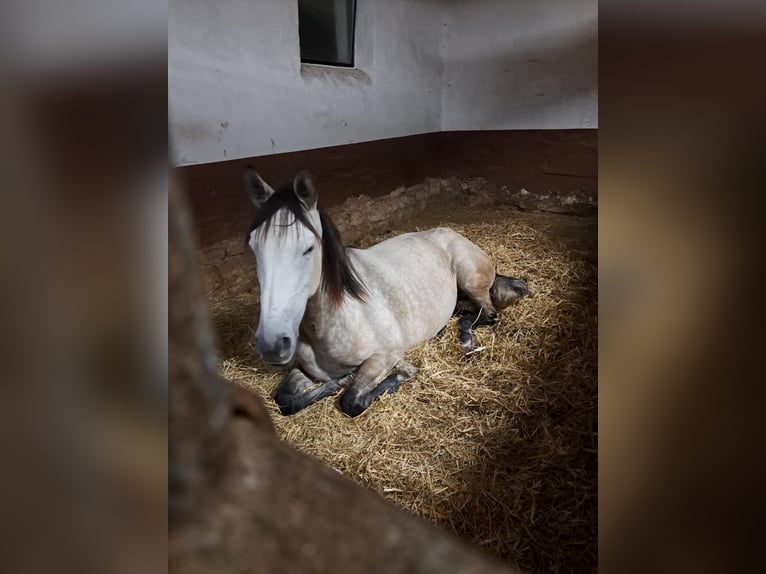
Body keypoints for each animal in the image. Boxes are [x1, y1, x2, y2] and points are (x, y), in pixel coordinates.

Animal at [244, 168, 528, 418]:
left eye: (308, 248)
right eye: (254, 246)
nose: (271, 344)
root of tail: (452, 233)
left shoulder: (384, 356)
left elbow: (352, 401)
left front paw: (400, 373)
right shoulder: (303, 367)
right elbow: (284, 400)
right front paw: (334, 383)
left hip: (470, 278)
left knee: (487, 314)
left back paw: (467, 339)